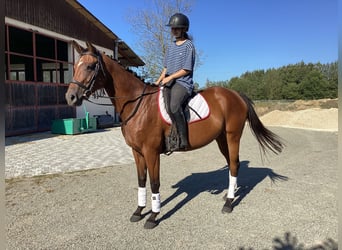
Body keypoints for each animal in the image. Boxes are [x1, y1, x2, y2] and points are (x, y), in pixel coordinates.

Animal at [65, 41, 284, 229]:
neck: (138, 104)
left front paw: (153, 216)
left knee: (235, 163)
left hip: (232, 136)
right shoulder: (137, 152)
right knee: (232, 164)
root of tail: (236, 94)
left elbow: (154, 182)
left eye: (91, 67)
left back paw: (229, 203)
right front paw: (138, 211)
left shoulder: (151, 152)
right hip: (221, 138)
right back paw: (228, 196)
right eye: (75, 66)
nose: (71, 97)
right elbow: (141, 180)